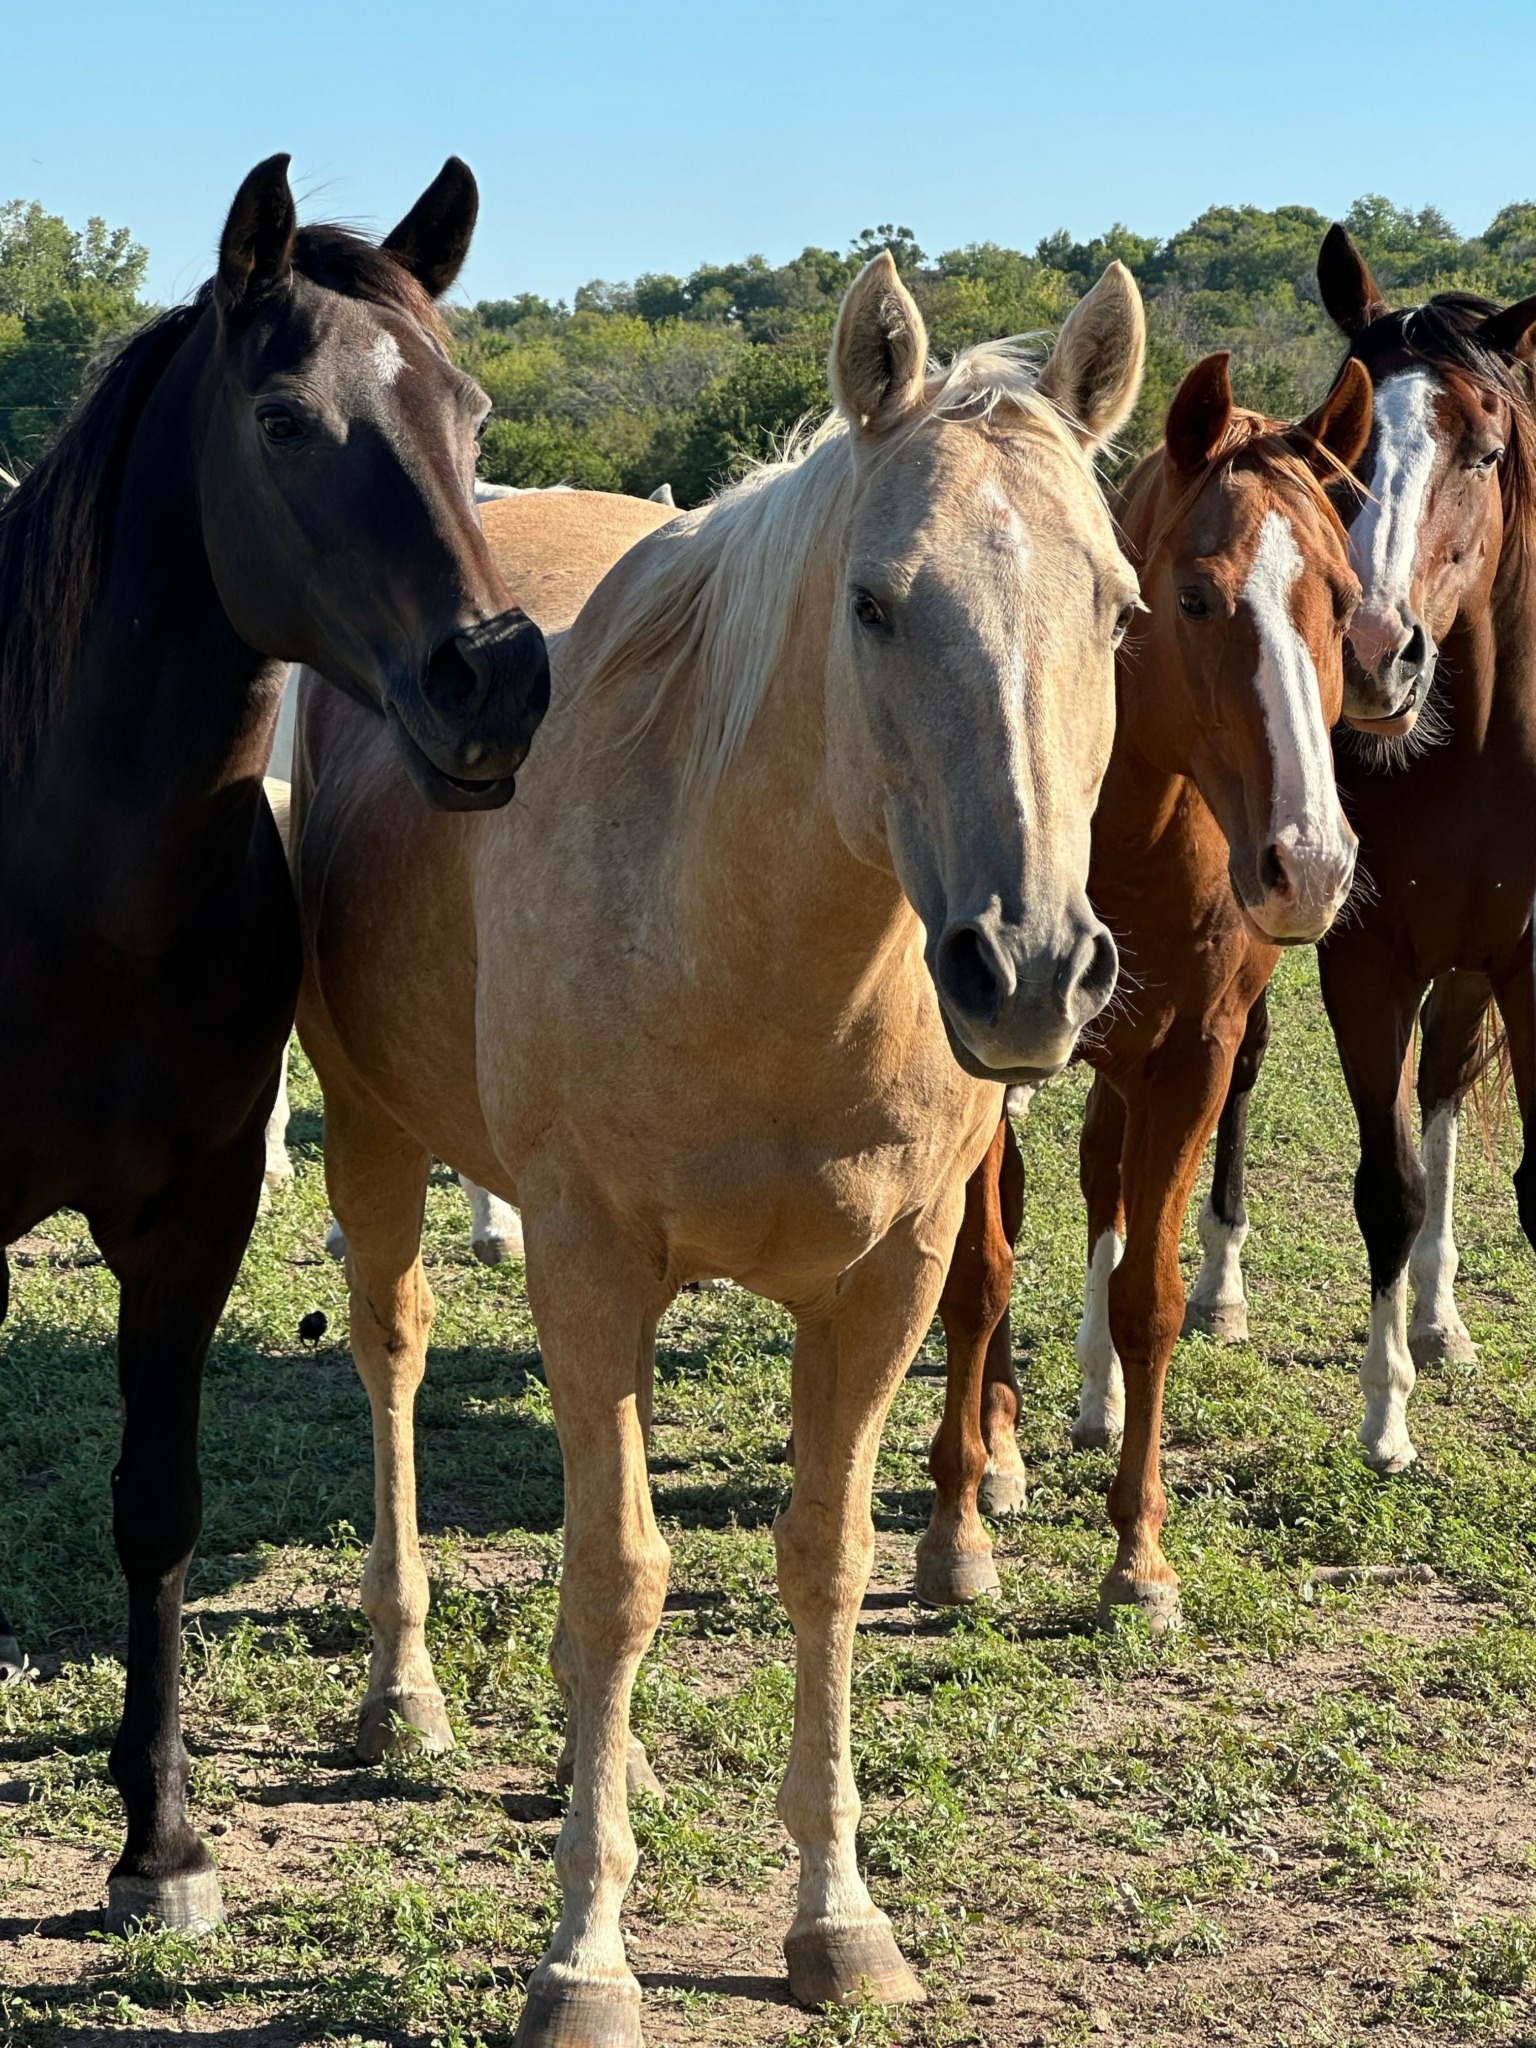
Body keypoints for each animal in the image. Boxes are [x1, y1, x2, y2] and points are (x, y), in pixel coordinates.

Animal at [0, 155, 550, 1934]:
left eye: (470, 405)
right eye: (288, 419)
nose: (498, 680)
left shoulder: (193, 1229)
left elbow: (160, 1517)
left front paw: (161, 1842)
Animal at [291, 251, 1146, 2037]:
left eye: (1116, 607)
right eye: (876, 604)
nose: (1032, 967)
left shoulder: (886, 1284)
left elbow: (818, 1565)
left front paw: (839, 1919)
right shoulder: (585, 1257)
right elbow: (615, 1579)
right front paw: (585, 1954)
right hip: (377, 1141)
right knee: (393, 1357)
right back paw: (405, 1691)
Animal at [914, 352, 1371, 1623]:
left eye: (1346, 602)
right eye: (1200, 599)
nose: (1311, 861)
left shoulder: (1193, 1053)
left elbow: (1151, 1295)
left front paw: (1139, 1552)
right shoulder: (984, 1058)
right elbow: (978, 1275)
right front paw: (958, 1526)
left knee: (1103, 1187)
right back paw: (1001, 1446)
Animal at [1190, 229, 1536, 1473]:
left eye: (1488, 450)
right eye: (1345, 469)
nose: (1379, 649)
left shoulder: (1520, 967)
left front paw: (1429, 1331)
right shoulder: (1366, 954)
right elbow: (1386, 1183)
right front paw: (1386, 1416)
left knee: (1442, 1092)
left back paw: (1440, 1316)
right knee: (1243, 1069)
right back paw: (1220, 1290)